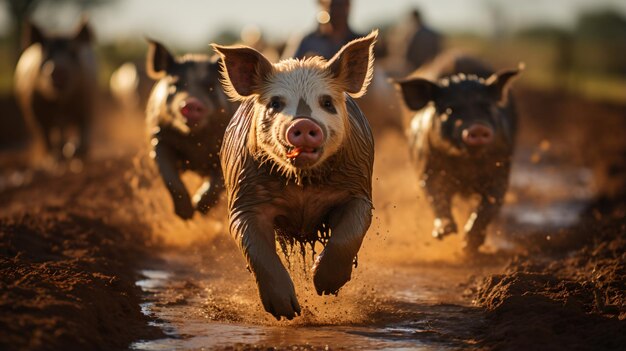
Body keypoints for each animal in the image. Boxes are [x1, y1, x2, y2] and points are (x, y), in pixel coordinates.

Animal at [14, 20, 96, 161]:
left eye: (73, 53)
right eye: (46, 55)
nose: (58, 69)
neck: (60, 103)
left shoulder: (87, 100)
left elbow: (84, 127)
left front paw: (74, 151)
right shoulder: (35, 111)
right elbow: (44, 133)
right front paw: (52, 158)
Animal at [145, 39, 238, 220]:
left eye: (210, 86)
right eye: (175, 86)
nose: (191, 102)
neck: (196, 145)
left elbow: (218, 182)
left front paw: (199, 209)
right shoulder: (159, 138)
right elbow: (170, 178)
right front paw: (186, 214)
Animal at [213, 31, 376, 320]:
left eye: (327, 103)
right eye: (276, 103)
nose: (302, 122)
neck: (302, 185)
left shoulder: (358, 190)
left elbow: (349, 233)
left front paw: (323, 287)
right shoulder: (242, 200)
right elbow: (256, 248)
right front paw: (288, 313)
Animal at [394, 53, 520, 253]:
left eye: (487, 107)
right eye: (449, 110)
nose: (477, 127)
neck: (466, 164)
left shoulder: (501, 169)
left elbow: (490, 204)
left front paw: (468, 246)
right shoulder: (427, 168)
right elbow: (435, 195)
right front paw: (445, 232)